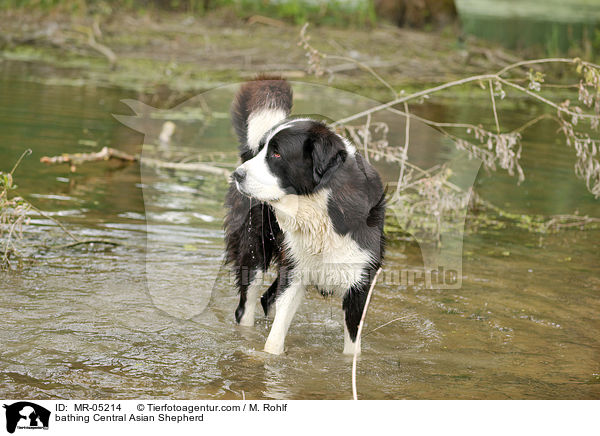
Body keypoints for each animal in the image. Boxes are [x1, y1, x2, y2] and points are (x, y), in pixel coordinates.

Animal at [224, 75, 384, 354]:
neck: (319, 208)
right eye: (264, 149)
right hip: (254, 254)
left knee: (266, 299)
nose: (237, 175)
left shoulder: (360, 283)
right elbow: (274, 340)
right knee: (247, 306)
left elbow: (352, 348)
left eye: (276, 153)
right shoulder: (294, 274)